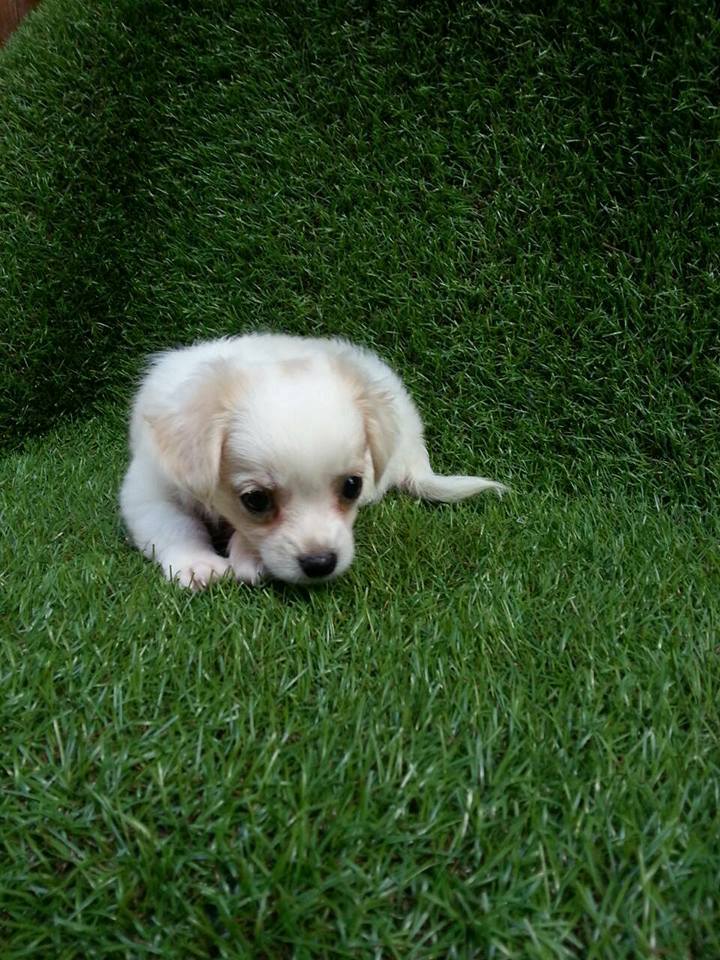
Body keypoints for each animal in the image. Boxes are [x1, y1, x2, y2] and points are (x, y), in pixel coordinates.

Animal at [119, 333, 507, 588]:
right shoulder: (149, 488)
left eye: (351, 487)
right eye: (256, 500)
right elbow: (174, 525)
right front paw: (198, 565)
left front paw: (248, 553)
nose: (321, 564)